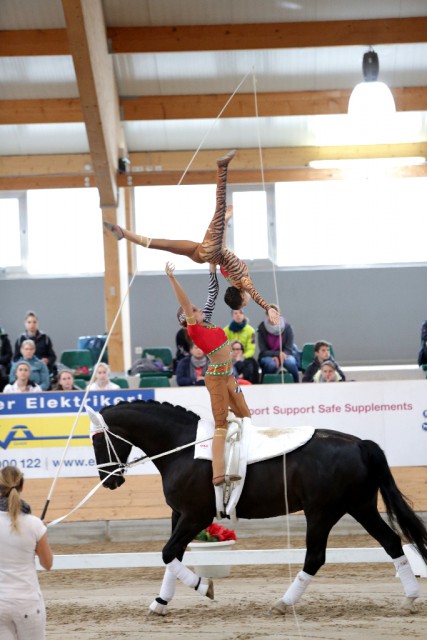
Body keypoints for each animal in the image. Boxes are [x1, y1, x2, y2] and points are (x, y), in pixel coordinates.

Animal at [91, 400, 427, 616]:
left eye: (96, 441)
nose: (109, 481)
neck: (183, 447)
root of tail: (360, 444)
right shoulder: (180, 514)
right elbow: (172, 557)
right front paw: (160, 603)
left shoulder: (195, 516)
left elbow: (167, 553)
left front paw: (204, 587)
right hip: (360, 506)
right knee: (392, 542)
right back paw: (409, 599)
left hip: (321, 513)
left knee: (315, 557)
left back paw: (283, 603)